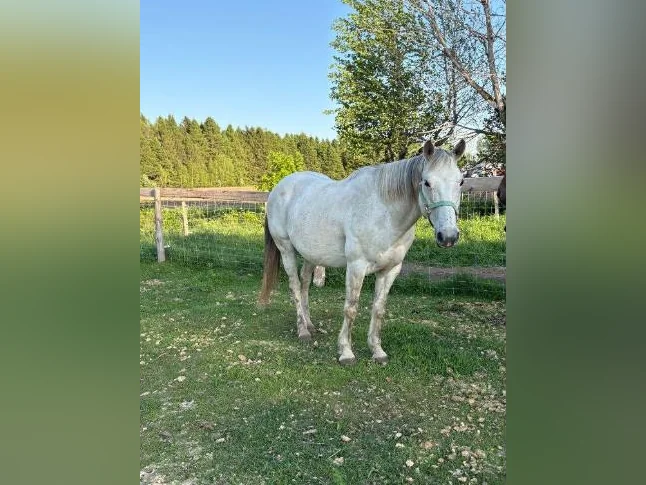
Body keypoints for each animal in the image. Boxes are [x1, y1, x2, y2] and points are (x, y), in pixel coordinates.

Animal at [259, 138, 466, 365]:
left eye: (461, 182)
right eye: (427, 182)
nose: (448, 236)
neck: (384, 213)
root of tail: (278, 189)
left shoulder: (390, 270)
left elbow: (379, 309)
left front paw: (377, 350)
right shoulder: (356, 267)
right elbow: (351, 308)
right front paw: (346, 352)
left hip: (310, 254)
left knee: (305, 284)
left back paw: (310, 325)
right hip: (286, 249)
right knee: (295, 286)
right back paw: (302, 330)